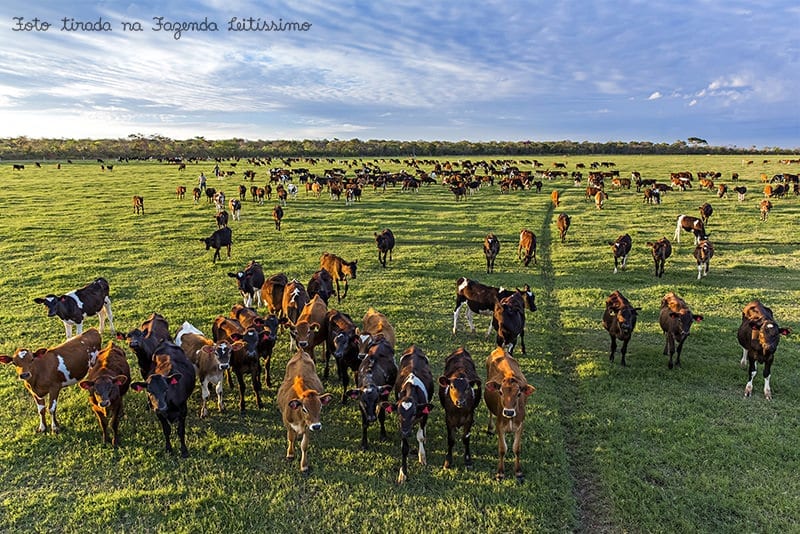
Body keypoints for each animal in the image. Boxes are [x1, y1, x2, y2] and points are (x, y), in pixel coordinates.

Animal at [384, 346, 434, 488]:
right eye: (399, 414)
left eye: (413, 414)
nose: (406, 432)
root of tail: (414, 347)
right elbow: (404, 448)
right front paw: (403, 474)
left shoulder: (424, 415)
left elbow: (420, 436)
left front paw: (422, 457)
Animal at [482, 346, 536, 484]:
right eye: (500, 392)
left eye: (519, 394)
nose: (508, 412)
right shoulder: (500, 426)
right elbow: (502, 449)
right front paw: (500, 473)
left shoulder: (520, 425)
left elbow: (516, 449)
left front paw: (518, 472)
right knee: (490, 412)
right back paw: (489, 429)